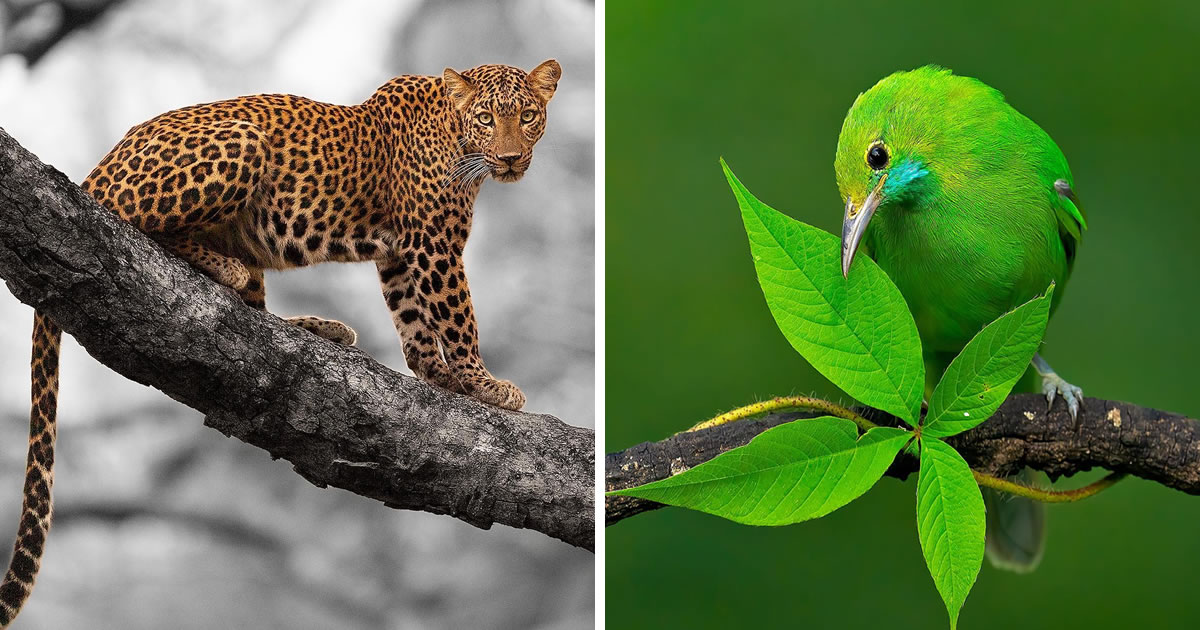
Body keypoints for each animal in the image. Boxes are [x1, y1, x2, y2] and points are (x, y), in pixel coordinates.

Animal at [0, 57, 564, 624]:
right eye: (488, 119)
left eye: (528, 116)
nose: (511, 158)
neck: (456, 136)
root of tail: (94, 173)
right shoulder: (433, 243)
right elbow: (457, 316)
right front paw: (486, 384)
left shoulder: (402, 252)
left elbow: (415, 322)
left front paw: (442, 377)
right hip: (241, 143)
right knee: (136, 224)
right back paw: (230, 271)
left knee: (256, 308)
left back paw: (317, 327)